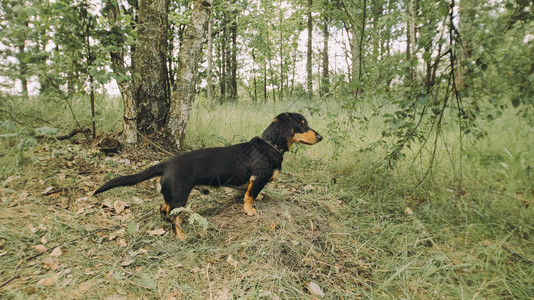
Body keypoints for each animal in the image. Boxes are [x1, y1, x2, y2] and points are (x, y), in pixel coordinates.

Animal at [93, 112, 322, 239]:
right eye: (301, 124)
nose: (320, 137)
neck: (270, 146)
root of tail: (167, 163)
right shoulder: (257, 179)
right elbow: (250, 197)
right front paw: (250, 211)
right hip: (180, 195)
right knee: (174, 216)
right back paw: (181, 236)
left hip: (172, 195)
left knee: (163, 208)